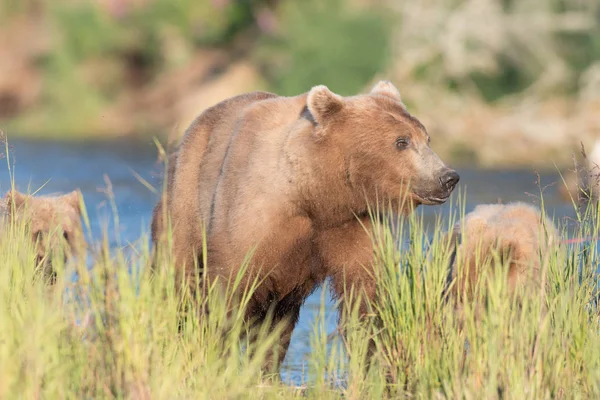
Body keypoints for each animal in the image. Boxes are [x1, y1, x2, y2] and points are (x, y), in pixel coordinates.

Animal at [151, 80, 460, 368]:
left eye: (427, 138)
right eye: (401, 141)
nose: (448, 177)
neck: (314, 194)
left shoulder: (354, 224)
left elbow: (365, 292)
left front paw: (373, 357)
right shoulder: (252, 217)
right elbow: (229, 289)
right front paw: (215, 352)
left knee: (278, 321)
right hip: (186, 200)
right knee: (178, 277)